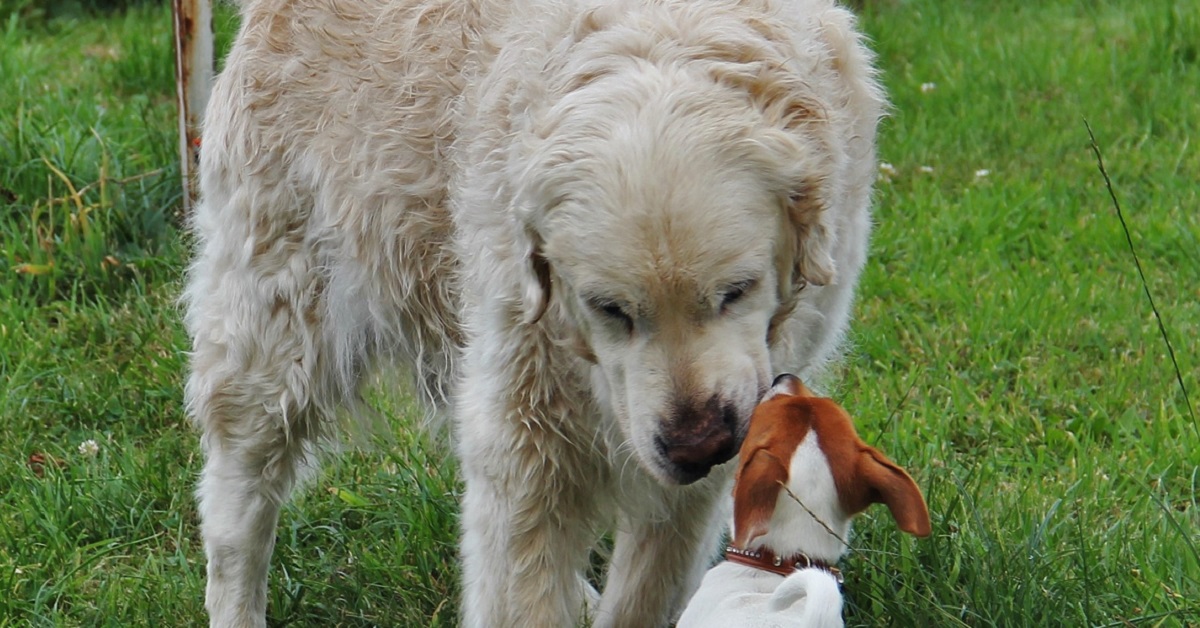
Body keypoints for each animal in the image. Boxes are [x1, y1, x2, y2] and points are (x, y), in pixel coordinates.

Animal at [182, 0, 888, 624]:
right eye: (609, 309)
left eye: (737, 290)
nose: (699, 446)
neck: (665, 32)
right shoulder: (526, 420)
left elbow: (644, 590)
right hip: (274, 328)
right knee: (235, 510)